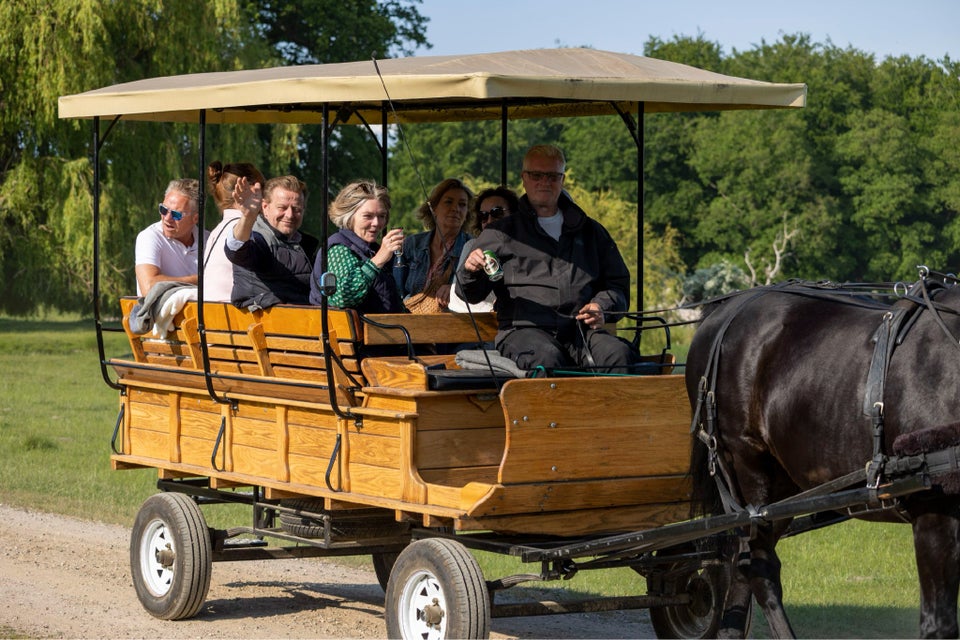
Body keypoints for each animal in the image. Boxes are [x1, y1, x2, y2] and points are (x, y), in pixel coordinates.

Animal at [688, 280, 960, 640]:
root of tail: (725, 310)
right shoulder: (934, 511)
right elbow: (939, 622)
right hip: (748, 475)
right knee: (756, 566)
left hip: (783, 490)